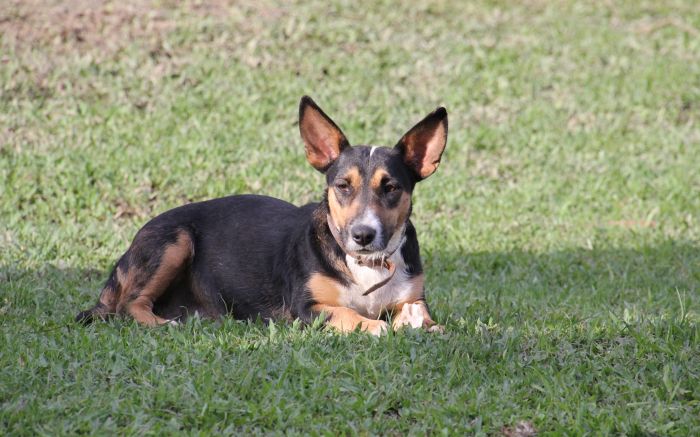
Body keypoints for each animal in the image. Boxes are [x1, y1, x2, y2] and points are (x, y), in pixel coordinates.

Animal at [78, 95, 448, 334]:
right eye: (343, 186)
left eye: (391, 187)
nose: (363, 235)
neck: (367, 266)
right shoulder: (307, 308)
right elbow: (350, 315)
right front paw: (376, 326)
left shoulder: (413, 298)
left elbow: (418, 315)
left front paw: (426, 326)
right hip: (175, 241)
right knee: (130, 304)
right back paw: (161, 323)